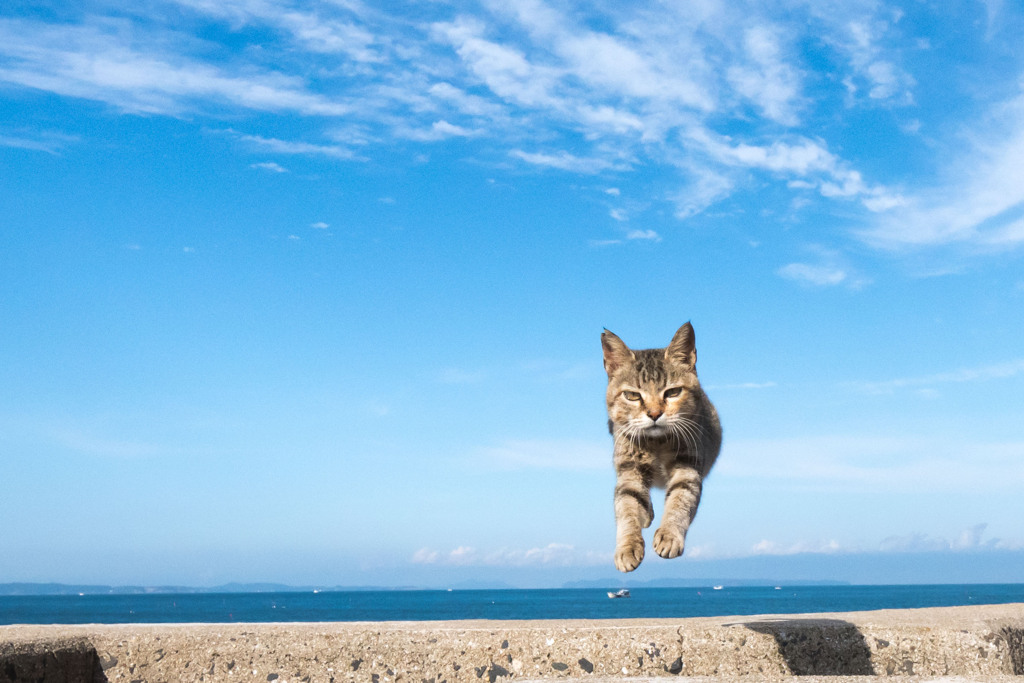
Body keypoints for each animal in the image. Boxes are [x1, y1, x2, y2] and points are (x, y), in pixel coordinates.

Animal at [598, 323, 720, 573]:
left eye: (673, 392)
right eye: (632, 395)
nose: (654, 414)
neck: (657, 444)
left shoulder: (688, 466)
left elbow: (680, 500)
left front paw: (669, 535)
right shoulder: (629, 471)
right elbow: (627, 505)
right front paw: (627, 546)